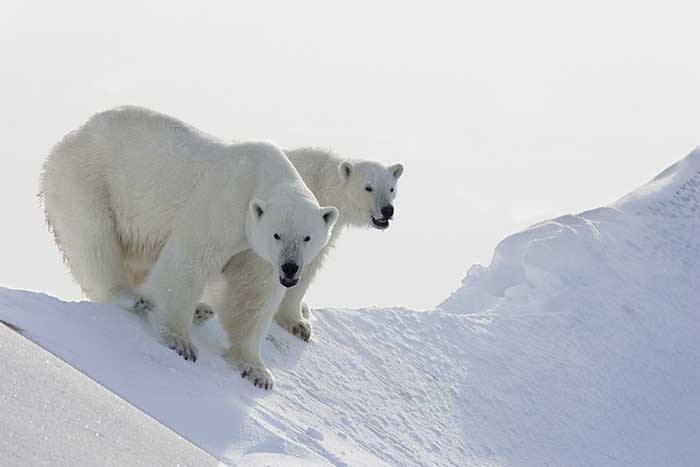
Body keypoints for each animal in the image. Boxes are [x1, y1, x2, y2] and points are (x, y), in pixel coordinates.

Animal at [40, 106, 336, 370]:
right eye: (277, 235)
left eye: (307, 237)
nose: (290, 268)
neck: (262, 176)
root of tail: (72, 136)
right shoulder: (224, 203)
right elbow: (190, 260)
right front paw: (180, 341)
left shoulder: (256, 249)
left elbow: (255, 290)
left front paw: (256, 369)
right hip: (89, 180)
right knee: (95, 239)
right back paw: (130, 296)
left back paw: (200, 309)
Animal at [208, 148, 402, 390]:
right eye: (369, 187)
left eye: (392, 188)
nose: (387, 210)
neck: (323, 185)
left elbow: (308, 266)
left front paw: (300, 323)